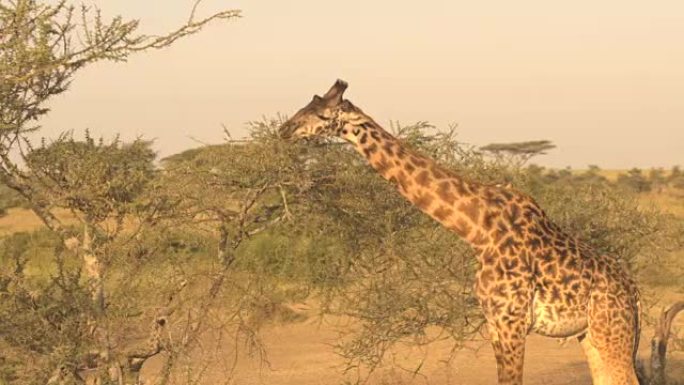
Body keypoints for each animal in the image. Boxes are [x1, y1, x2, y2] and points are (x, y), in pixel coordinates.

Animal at [278, 79, 640, 384]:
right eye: (306, 103)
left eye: (322, 114)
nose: (284, 129)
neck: (477, 227)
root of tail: (634, 291)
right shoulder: (494, 323)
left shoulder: (511, 321)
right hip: (590, 334)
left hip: (612, 328)